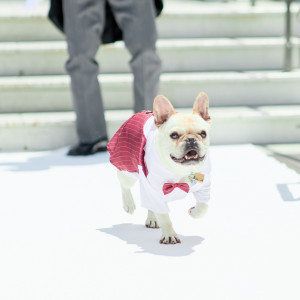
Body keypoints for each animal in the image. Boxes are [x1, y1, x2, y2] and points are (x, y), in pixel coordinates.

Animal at [107, 92, 211, 245]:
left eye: (203, 133)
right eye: (174, 135)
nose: (191, 139)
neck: (178, 170)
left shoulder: (204, 186)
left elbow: (203, 207)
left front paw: (193, 211)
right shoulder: (156, 191)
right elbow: (164, 217)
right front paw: (169, 234)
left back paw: (152, 219)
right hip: (127, 167)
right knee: (124, 185)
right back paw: (129, 204)